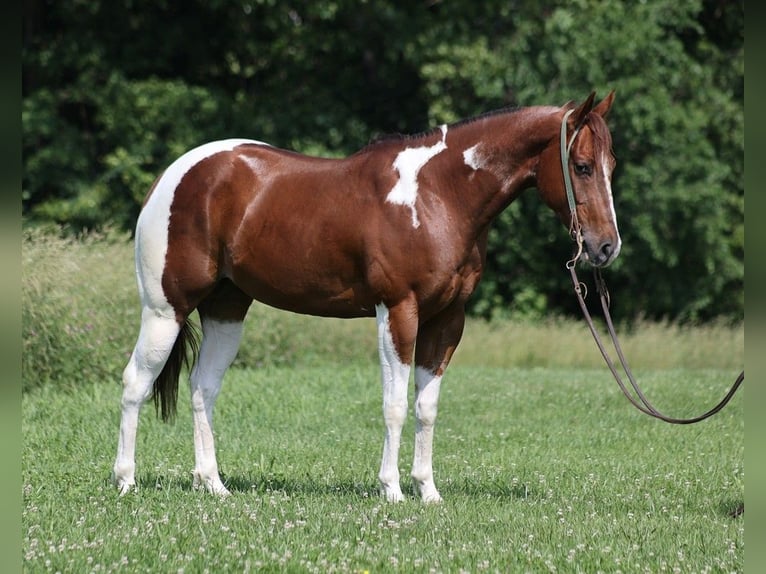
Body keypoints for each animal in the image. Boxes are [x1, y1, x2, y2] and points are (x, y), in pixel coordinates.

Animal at [114, 91, 620, 504]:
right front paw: (391, 489)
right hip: (165, 309)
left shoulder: (447, 320)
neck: (438, 195)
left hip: (226, 309)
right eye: (581, 166)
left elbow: (426, 408)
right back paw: (126, 481)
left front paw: (427, 491)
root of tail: (173, 176)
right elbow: (394, 405)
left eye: (611, 166)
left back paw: (213, 484)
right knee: (136, 382)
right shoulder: (398, 310)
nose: (605, 247)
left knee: (203, 387)